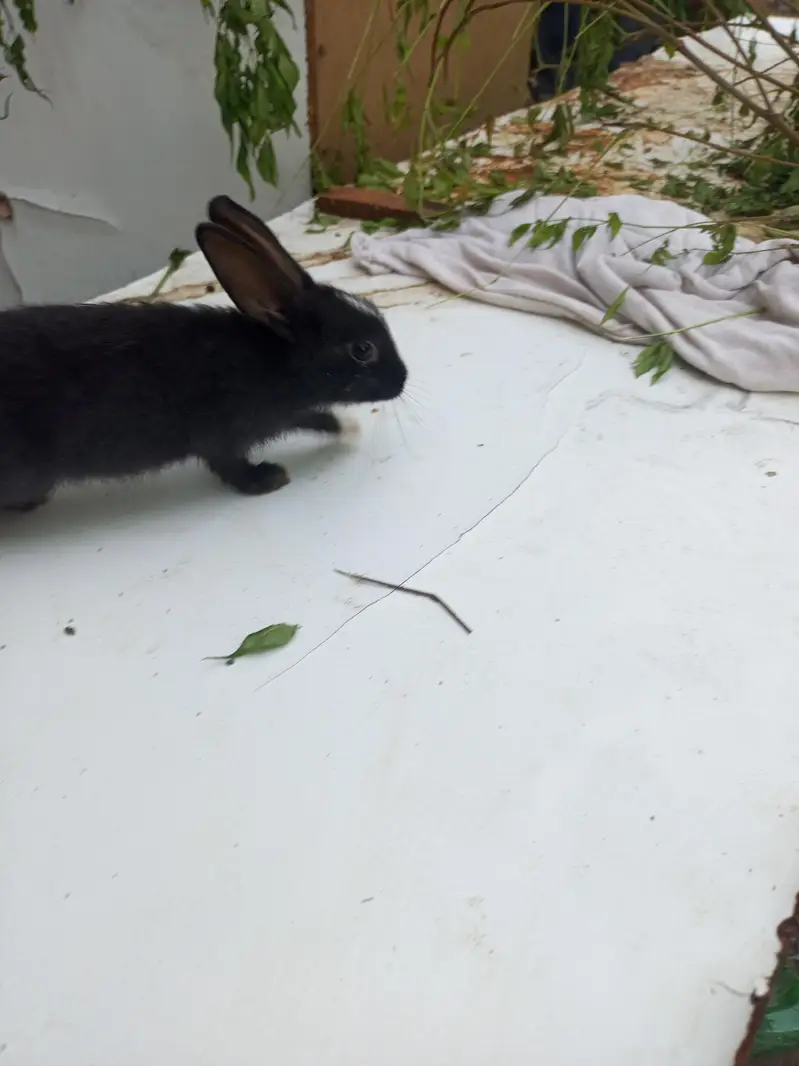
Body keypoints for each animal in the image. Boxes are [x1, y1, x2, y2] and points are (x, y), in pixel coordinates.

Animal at [0, 194, 407, 513]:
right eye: (362, 349)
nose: (403, 379)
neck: (277, 360)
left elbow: (313, 415)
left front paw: (345, 427)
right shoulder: (226, 434)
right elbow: (230, 465)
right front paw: (269, 478)